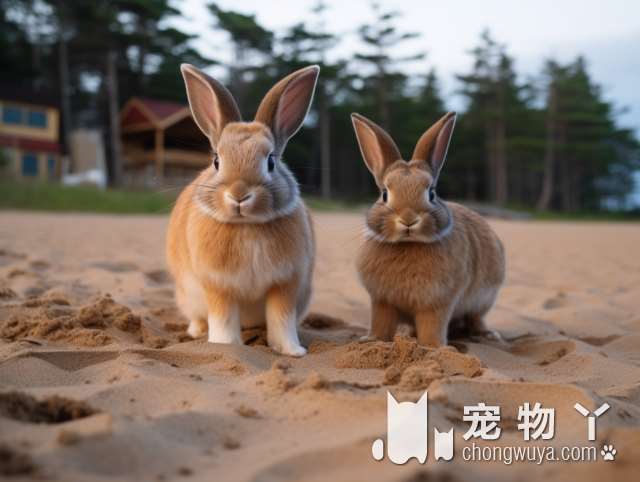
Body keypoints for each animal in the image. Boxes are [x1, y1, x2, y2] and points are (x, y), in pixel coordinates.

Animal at [168, 64, 320, 356]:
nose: (239, 195)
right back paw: (197, 332)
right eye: (216, 161)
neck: (247, 226)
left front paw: (293, 351)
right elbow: (223, 318)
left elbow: (282, 320)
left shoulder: (285, 284)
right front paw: (225, 346)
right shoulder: (218, 286)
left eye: (271, 161)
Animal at [350, 112, 504, 346]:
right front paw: (371, 340)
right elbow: (380, 323)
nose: (408, 219)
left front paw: (433, 346)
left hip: (484, 299)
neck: (408, 244)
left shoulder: (437, 303)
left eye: (431, 193)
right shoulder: (382, 301)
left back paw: (488, 335)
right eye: (384, 194)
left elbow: (432, 325)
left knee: (476, 318)